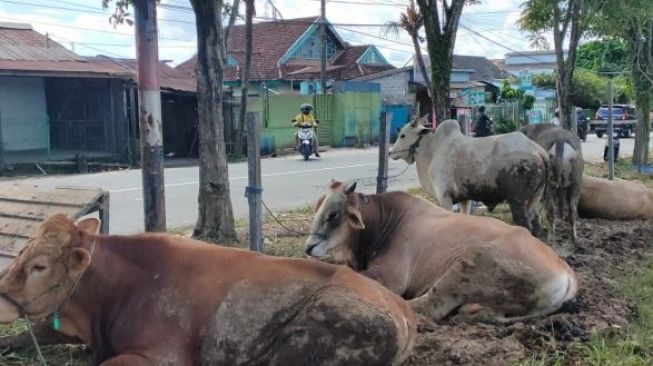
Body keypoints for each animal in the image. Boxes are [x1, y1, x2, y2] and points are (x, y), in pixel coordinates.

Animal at [306, 182, 576, 322]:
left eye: (333, 213)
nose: (308, 247)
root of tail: (567, 273)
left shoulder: (390, 276)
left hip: (466, 267)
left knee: (429, 306)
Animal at [388, 118, 552, 236]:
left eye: (403, 135)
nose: (390, 152)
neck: (432, 149)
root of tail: (538, 151)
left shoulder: (444, 196)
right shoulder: (464, 198)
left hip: (517, 200)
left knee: (524, 224)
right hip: (535, 199)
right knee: (537, 224)